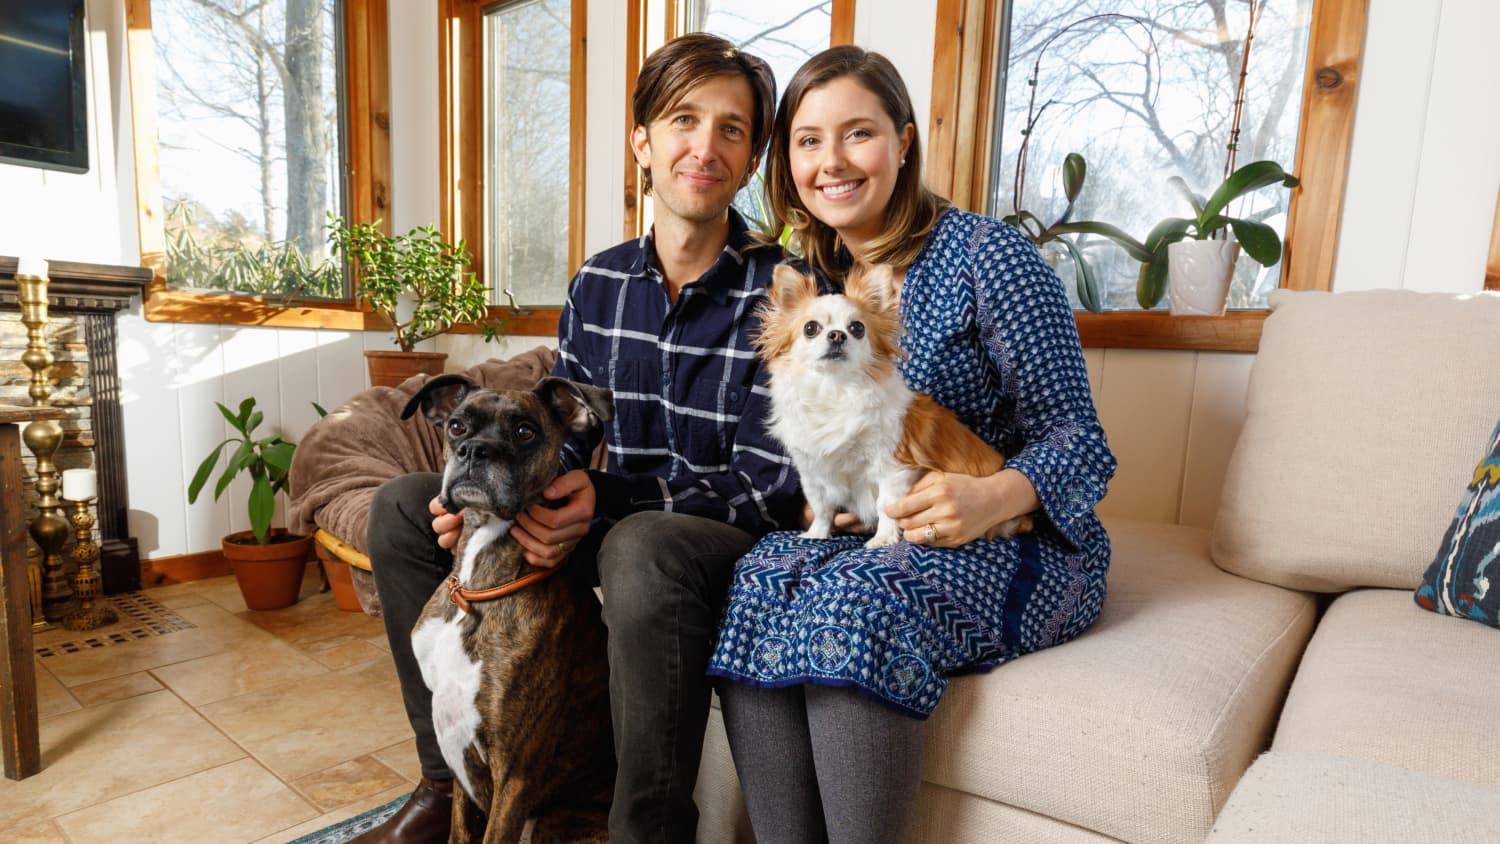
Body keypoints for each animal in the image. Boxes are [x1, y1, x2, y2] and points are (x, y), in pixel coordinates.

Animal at [402, 376, 618, 844]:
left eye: (525, 432)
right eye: (457, 426)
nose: (475, 450)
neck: (476, 588)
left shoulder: (514, 775)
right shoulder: (460, 760)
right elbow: (460, 831)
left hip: (557, 822)